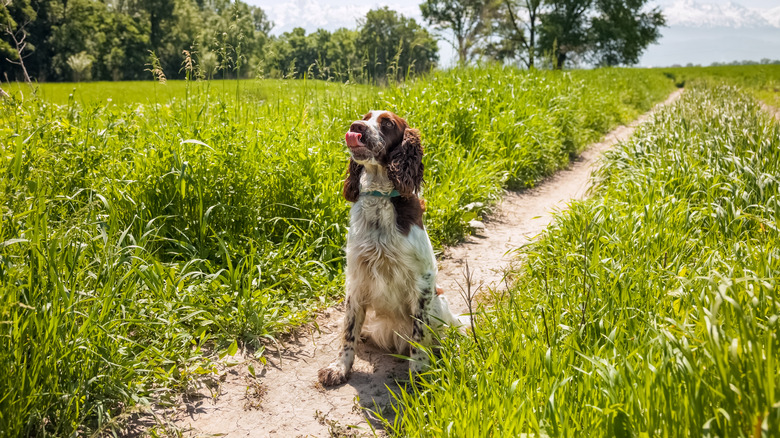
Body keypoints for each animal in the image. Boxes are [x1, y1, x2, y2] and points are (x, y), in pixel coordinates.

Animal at [318, 111, 464, 384]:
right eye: (365, 117)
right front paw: (339, 367)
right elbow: (348, 330)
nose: (356, 127)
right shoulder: (356, 277)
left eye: (386, 123)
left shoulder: (423, 280)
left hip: (438, 303)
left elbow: (419, 333)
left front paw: (419, 372)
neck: (379, 197)